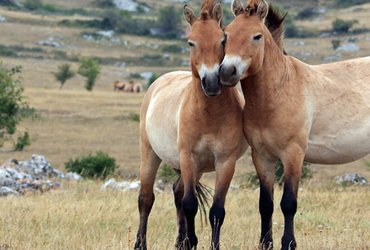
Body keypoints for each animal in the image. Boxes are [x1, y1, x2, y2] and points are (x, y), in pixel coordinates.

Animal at [134, 0, 249, 249]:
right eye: (190, 42)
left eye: (223, 39)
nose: (212, 82)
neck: (207, 115)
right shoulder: (188, 157)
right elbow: (190, 204)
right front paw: (192, 240)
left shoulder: (225, 162)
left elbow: (216, 210)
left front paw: (202, 243)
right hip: (150, 154)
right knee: (146, 199)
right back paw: (141, 243)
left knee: (178, 192)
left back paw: (181, 241)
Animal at [218, 0, 370, 249]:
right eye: (226, 35)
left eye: (257, 36)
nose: (227, 72)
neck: (280, 90)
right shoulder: (262, 157)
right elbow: (265, 204)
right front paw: (265, 243)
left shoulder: (293, 154)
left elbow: (288, 203)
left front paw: (288, 243)